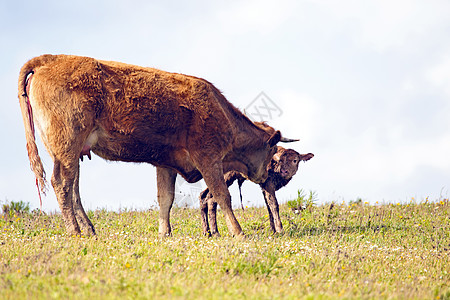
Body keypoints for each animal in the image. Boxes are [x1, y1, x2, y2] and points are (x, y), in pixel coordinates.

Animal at [16, 53, 296, 237]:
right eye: (273, 153)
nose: (268, 179)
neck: (221, 112)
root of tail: (50, 59)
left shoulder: (166, 164)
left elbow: (165, 199)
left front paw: (164, 233)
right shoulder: (208, 158)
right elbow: (221, 195)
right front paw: (238, 232)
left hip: (71, 152)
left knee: (73, 188)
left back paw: (90, 230)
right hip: (66, 145)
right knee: (62, 184)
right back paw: (75, 231)